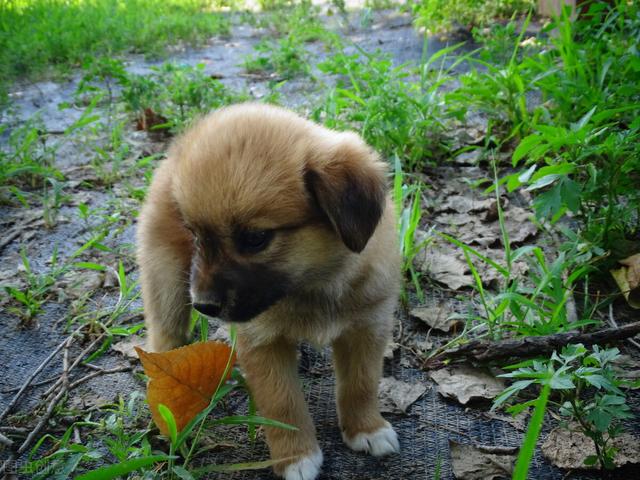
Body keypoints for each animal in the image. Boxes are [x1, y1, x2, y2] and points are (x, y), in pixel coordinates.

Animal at [138, 103, 402, 478]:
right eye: (195, 235)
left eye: (255, 238)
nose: (204, 306)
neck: (313, 284)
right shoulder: (263, 343)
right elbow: (282, 403)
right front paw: (296, 456)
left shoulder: (367, 327)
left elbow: (361, 384)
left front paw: (367, 428)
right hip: (166, 281)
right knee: (164, 335)